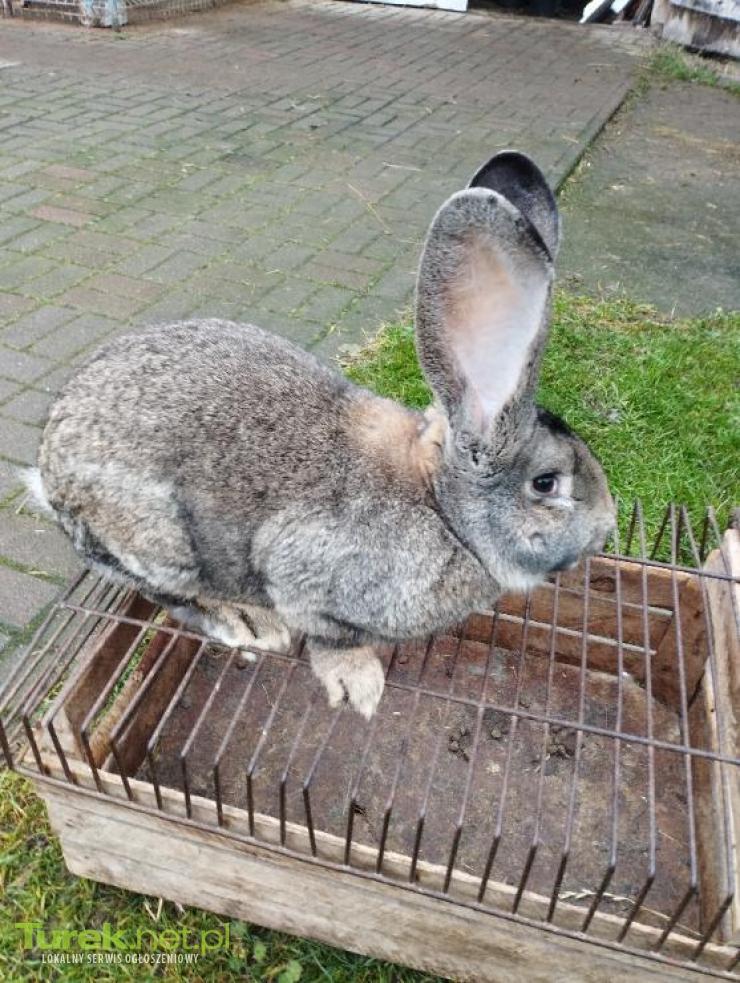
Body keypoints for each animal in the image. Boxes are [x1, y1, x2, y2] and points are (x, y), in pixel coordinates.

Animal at [33, 150, 615, 720]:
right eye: (547, 484)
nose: (607, 527)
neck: (442, 510)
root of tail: (48, 474)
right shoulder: (308, 585)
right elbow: (332, 641)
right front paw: (360, 688)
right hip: (161, 542)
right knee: (166, 591)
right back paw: (245, 623)